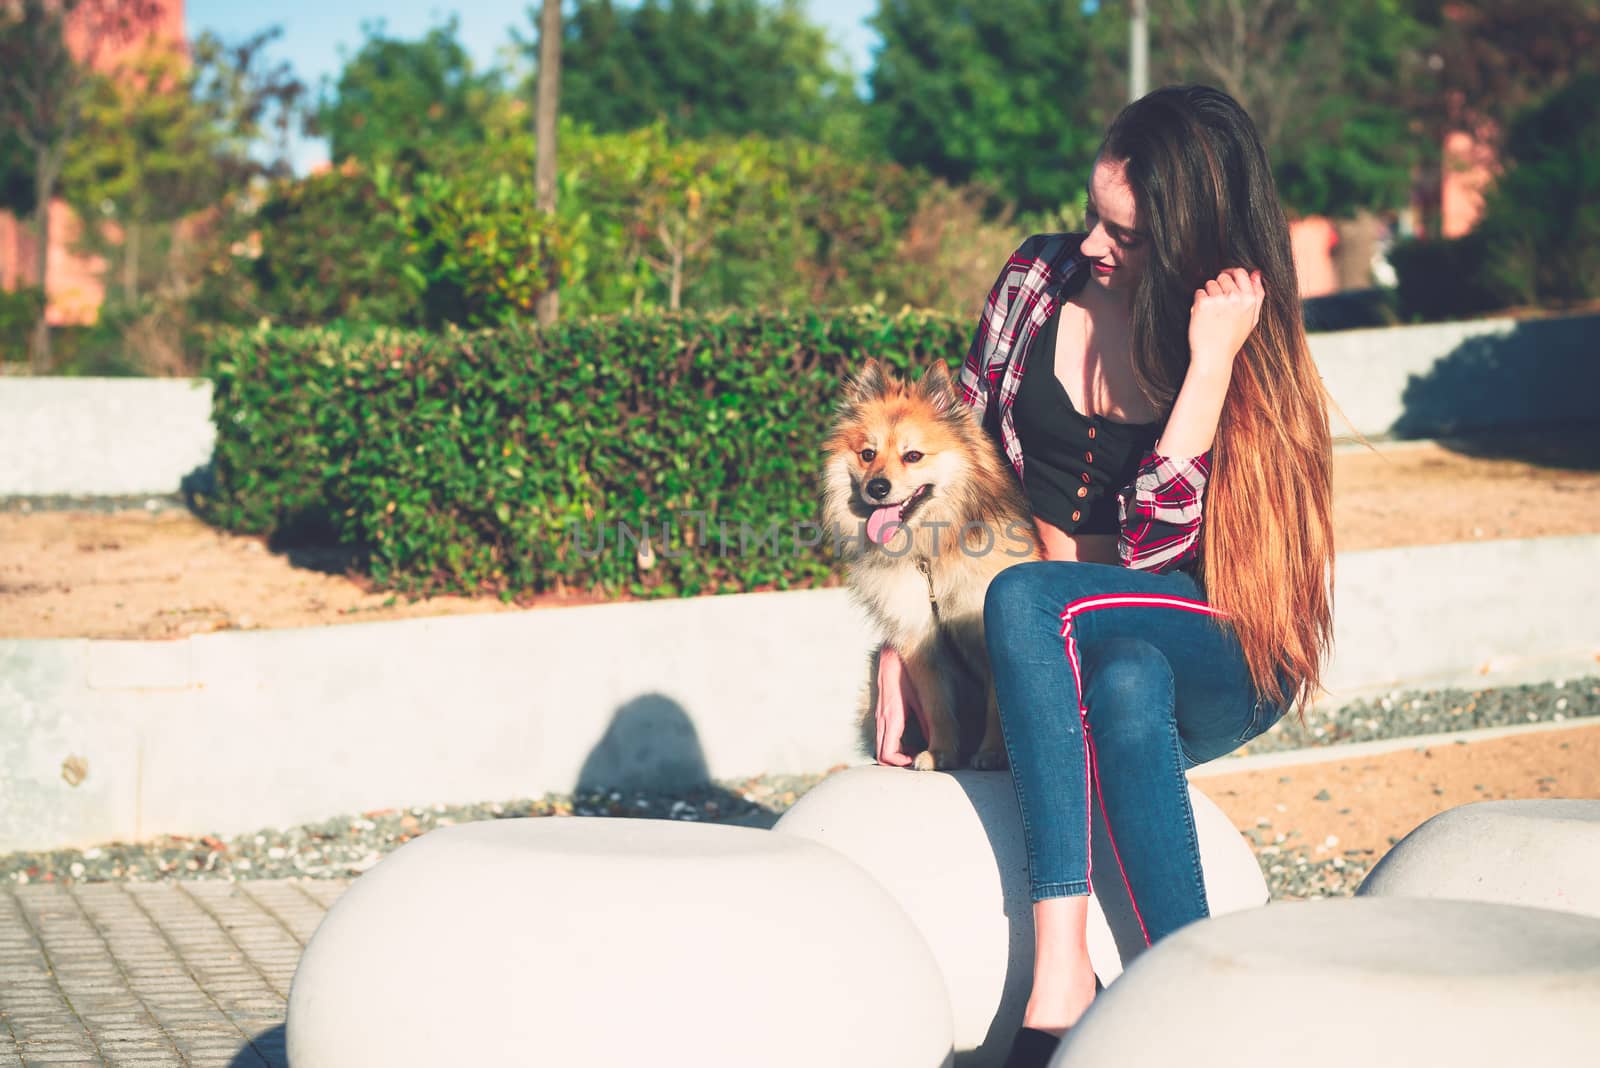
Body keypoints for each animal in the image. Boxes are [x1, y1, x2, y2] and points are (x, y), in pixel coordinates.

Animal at [819, 358, 1043, 767]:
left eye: (913, 456)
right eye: (868, 454)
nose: (877, 488)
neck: (928, 559)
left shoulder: (987, 636)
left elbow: (996, 706)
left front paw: (991, 753)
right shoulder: (919, 639)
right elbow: (936, 705)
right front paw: (940, 754)